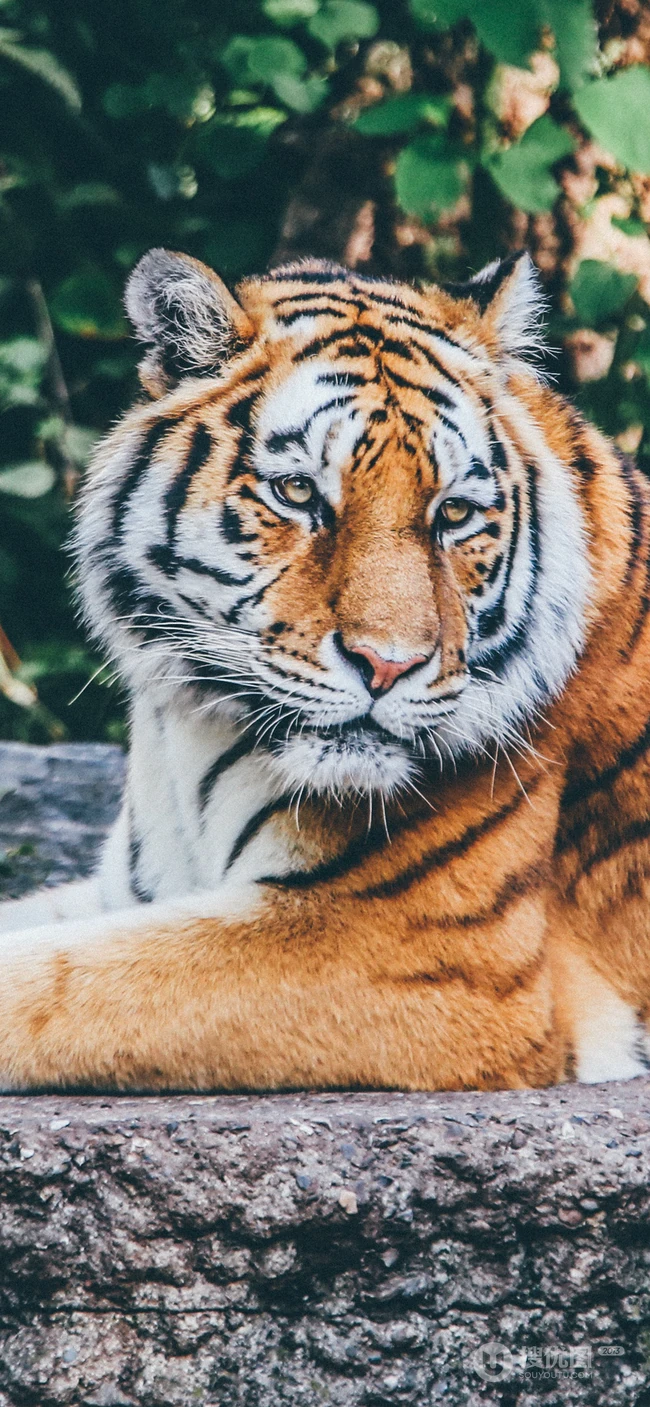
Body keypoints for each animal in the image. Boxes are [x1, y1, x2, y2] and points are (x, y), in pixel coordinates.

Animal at [1, 244, 650, 1093]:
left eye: (454, 513)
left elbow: (59, 979)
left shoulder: (414, 948)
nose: (388, 664)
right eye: (298, 492)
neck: (193, 731)